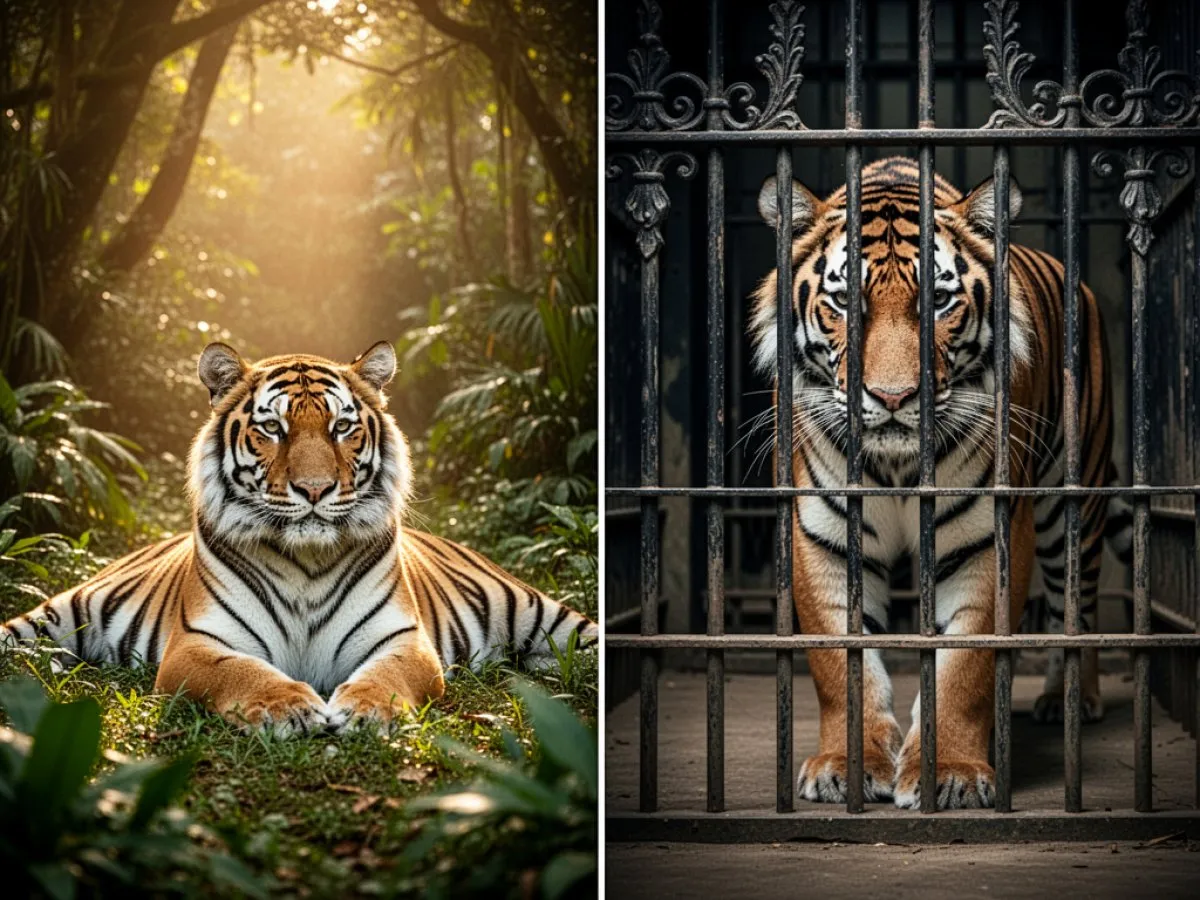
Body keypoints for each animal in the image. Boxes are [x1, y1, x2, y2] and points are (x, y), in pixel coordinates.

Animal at [2, 341, 596, 736]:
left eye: (341, 427)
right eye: (273, 428)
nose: (314, 488)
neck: (306, 561)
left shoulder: (403, 639)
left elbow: (387, 675)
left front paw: (364, 709)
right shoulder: (197, 644)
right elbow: (240, 671)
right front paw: (288, 706)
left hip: (544, 614)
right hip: (59, 610)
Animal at [751, 156, 1131, 810]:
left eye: (938, 300)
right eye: (844, 300)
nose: (893, 397)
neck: (897, 468)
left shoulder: (988, 540)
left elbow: (965, 667)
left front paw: (950, 772)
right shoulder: (824, 537)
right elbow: (841, 664)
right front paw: (845, 766)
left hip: (1071, 508)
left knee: (1074, 603)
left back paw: (1069, 700)